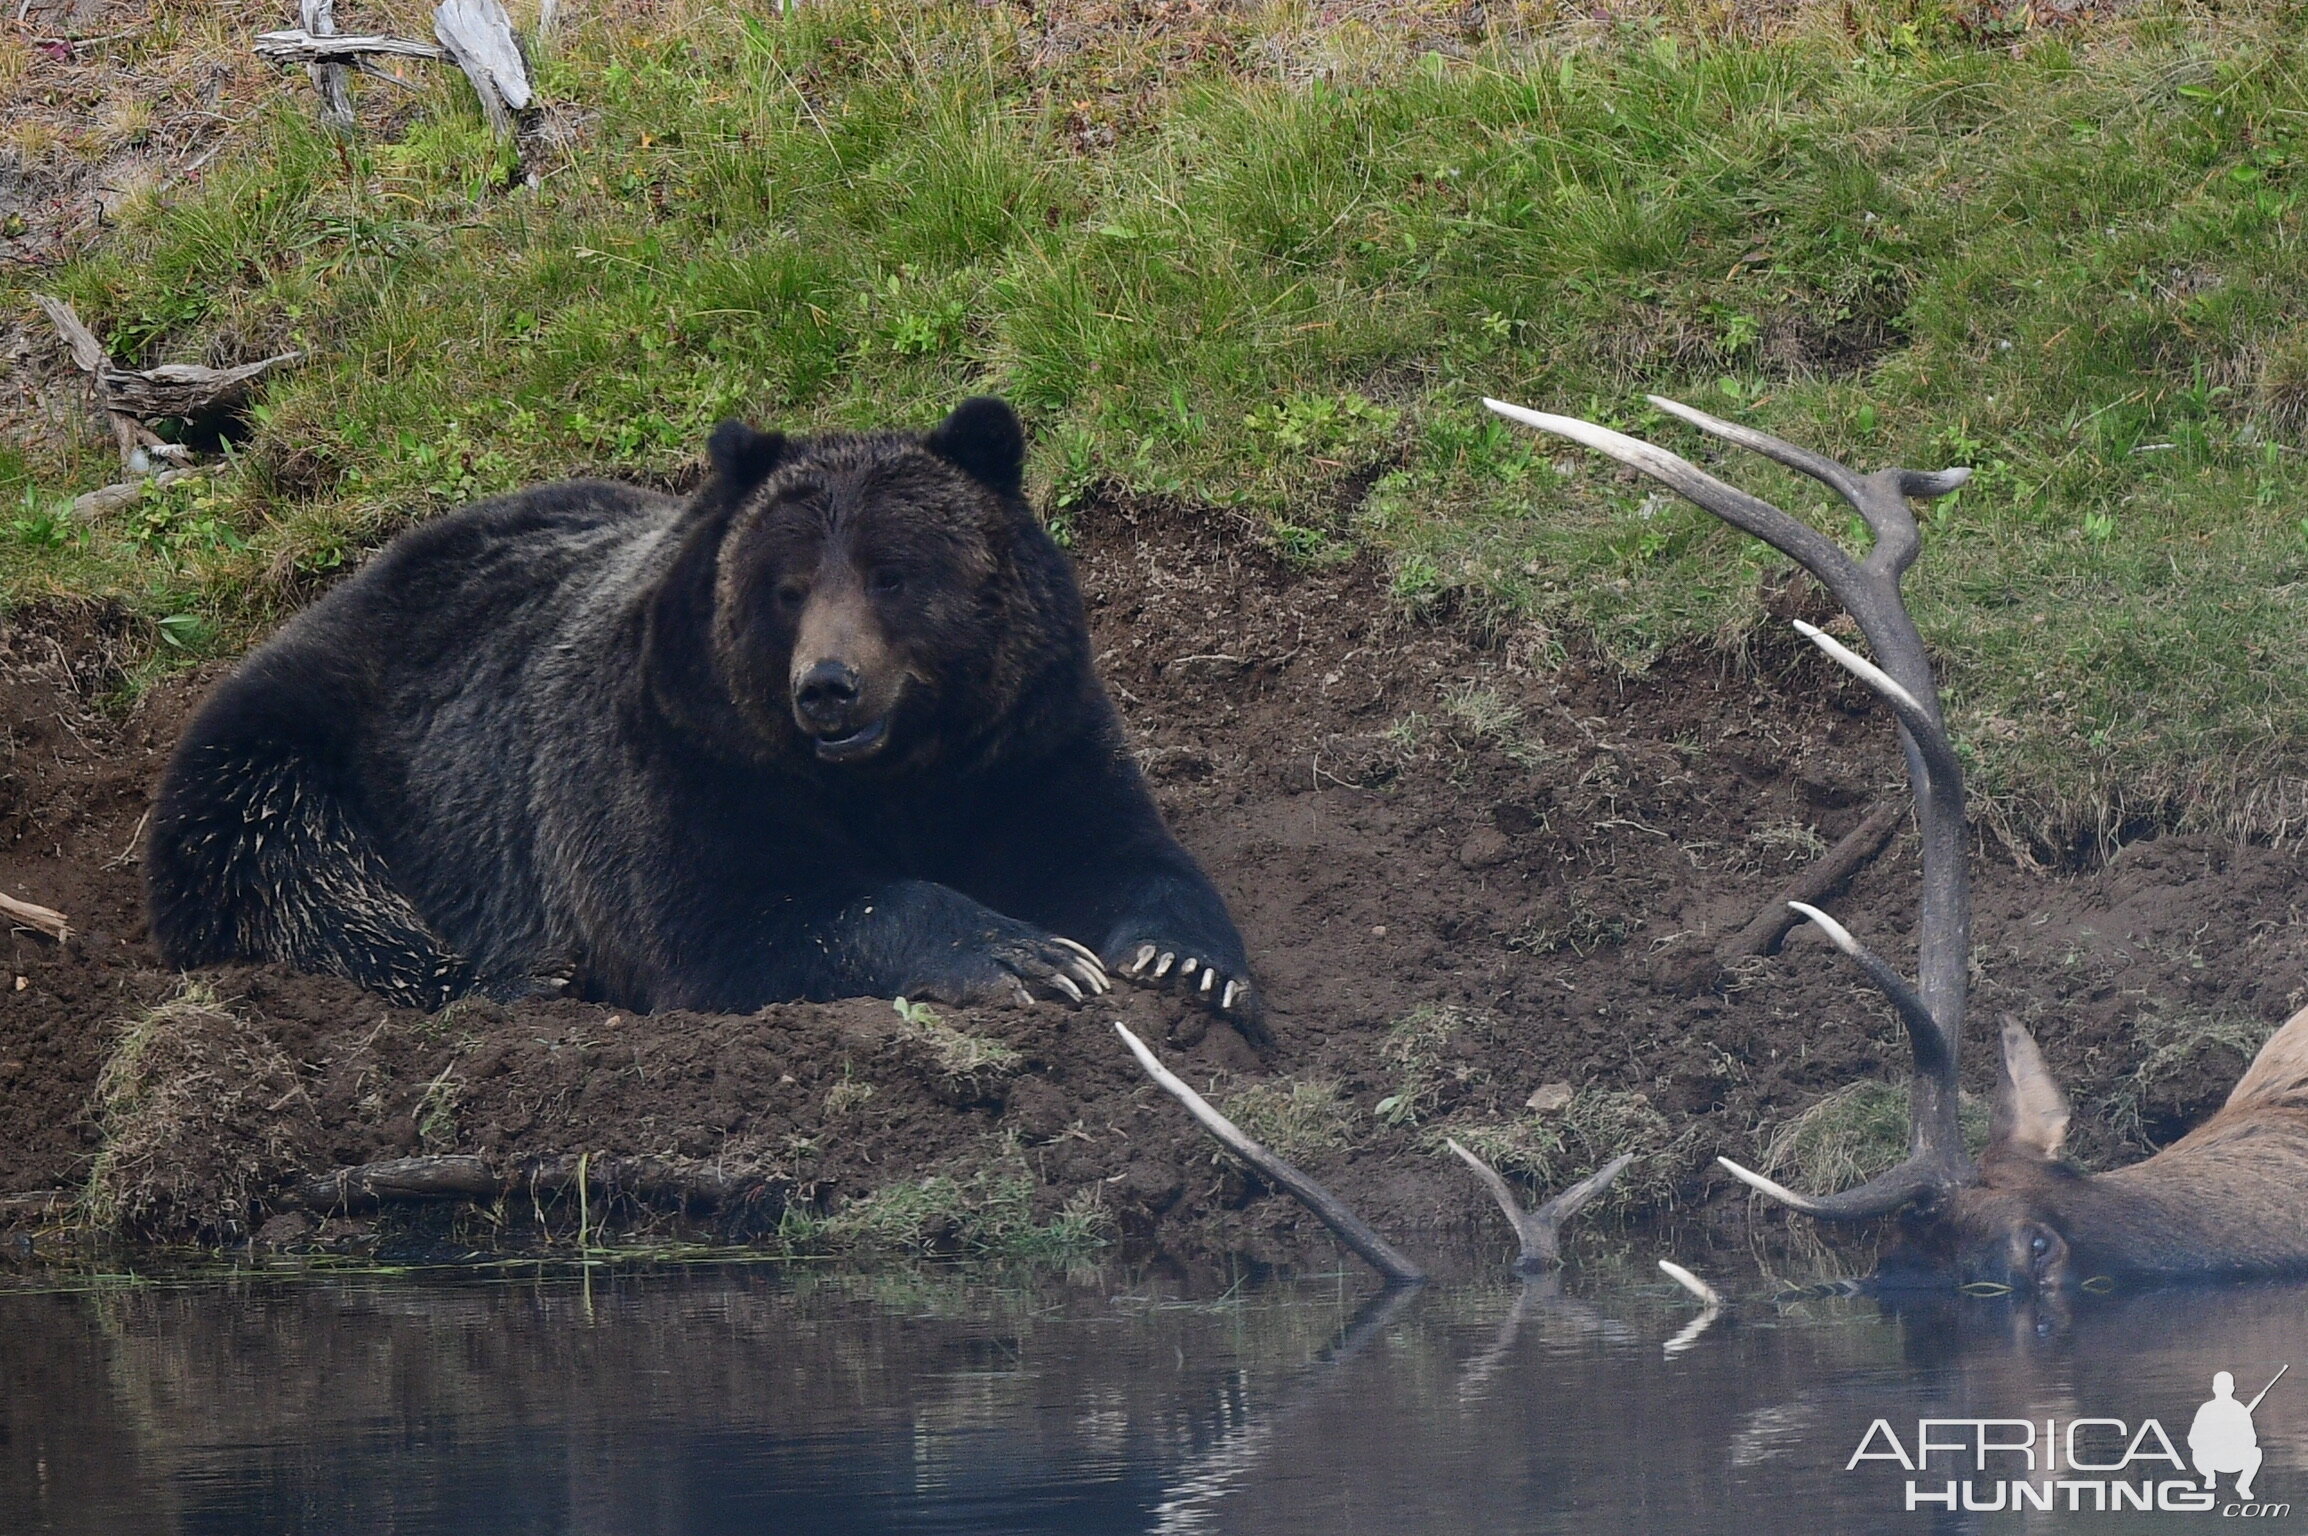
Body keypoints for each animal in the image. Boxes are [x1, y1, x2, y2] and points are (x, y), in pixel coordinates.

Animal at [148, 396, 1264, 1028]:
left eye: (894, 573)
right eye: (788, 586)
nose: (827, 686)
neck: (892, 772)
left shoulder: (1024, 732)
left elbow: (1111, 846)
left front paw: (1186, 961)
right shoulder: (682, 759)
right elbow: (731, 919)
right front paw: (1023, 956)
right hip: (303, 745)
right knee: (308, 874)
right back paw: (518, 979)